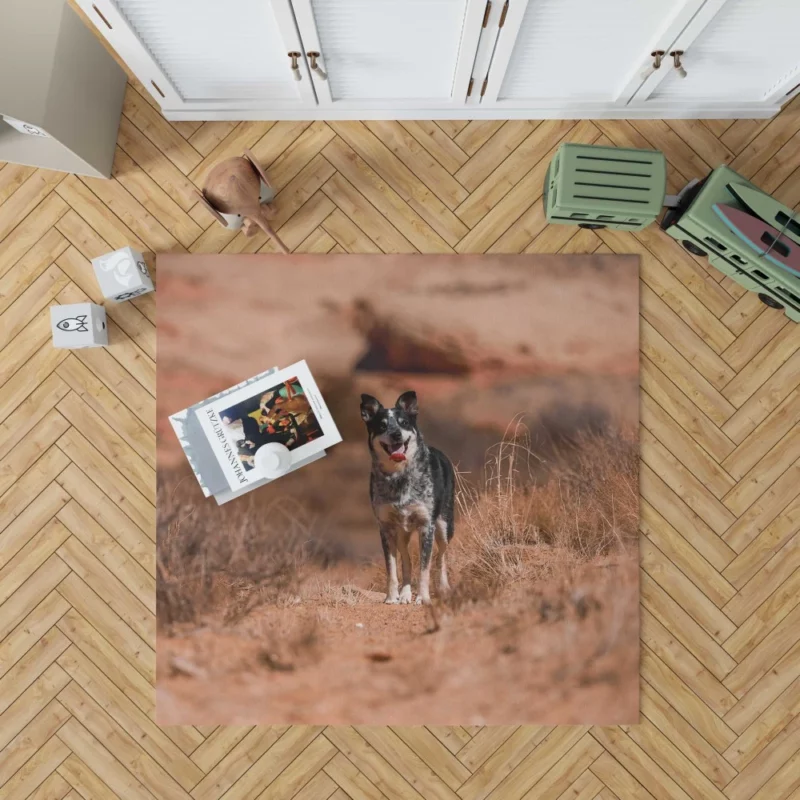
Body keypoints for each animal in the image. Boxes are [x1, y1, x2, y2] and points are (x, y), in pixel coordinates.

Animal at [360, 390, 454, 604]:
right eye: (382, 425)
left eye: (403, 423)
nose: (396, 434)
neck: (399, 476)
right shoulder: (386, 528)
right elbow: (392, 569)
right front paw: (392, 597)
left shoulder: (426, 526)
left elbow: (425, 568)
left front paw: (423, 598)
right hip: (402, 533)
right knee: (407, 561)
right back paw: (404, 594)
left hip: (444, 526)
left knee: (442, 556)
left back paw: (444, 589)